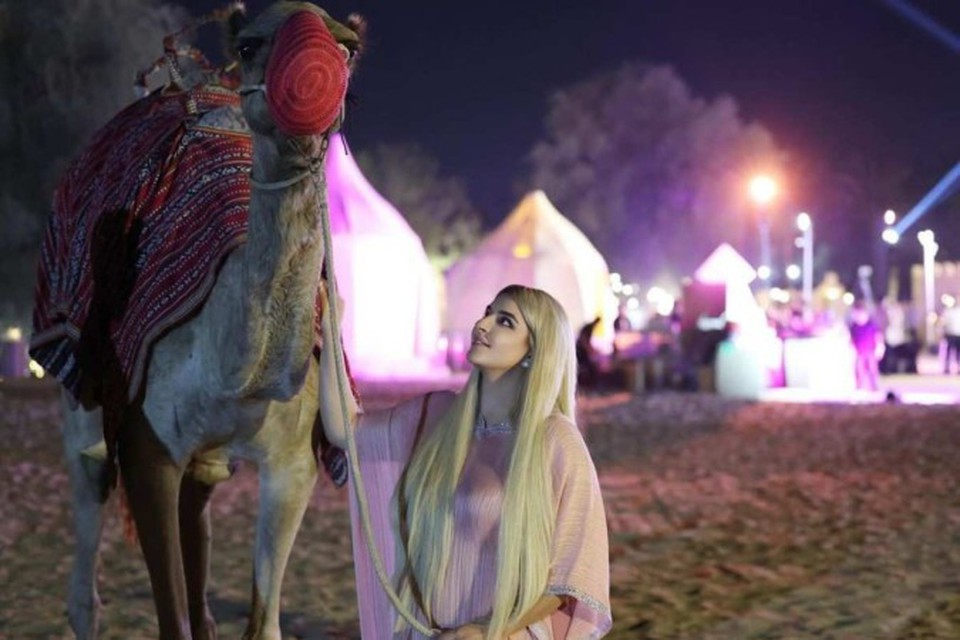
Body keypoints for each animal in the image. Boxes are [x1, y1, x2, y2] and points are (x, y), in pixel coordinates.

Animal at [32, 2, 364, 636]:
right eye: (251, 43)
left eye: (349, 47)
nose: (313, 76)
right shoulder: (146, 449)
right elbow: (171, 619)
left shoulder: (293, 465)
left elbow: (264, 622)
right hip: (79, 408)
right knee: (85, 565)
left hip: (209, 457)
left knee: (198, 520)